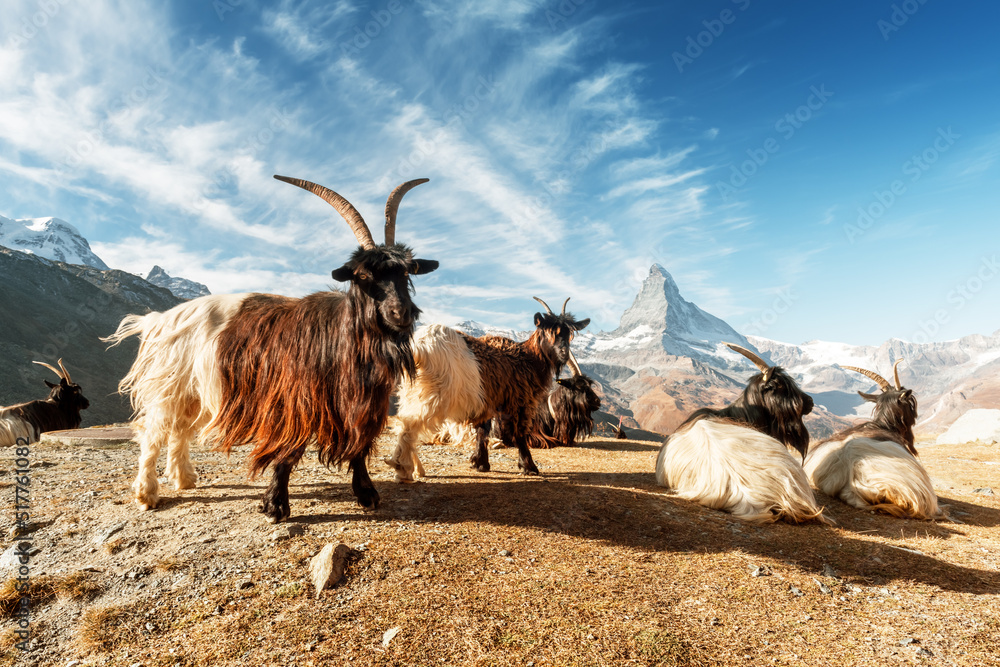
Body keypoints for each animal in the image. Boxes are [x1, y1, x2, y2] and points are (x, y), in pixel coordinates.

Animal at [105, 176, 438, 520]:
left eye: (405, 272)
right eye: (362, 275)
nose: (400, 313)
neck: (342, 337)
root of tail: (159, 319)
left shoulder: (360, 402)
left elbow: (358, 445)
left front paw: (366, 493)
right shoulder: (293, 399)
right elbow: (287, 450)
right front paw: (275, 504)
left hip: (194, 392)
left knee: (180, 430)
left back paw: (183, 478)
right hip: (169, 385)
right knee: (153, 432)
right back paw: (147, 493)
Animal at [382, 298, 584, 480]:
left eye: (568, 334)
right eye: (548, 332)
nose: (564, 353)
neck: (529, 358)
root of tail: (419, 347)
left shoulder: (487, 401)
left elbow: (482, 431)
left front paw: (480, 463)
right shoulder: (520, 401)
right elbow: (519, 433)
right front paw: (529, 467)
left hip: (412, 391)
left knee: (403, 424)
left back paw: (415, 468)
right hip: (432, 395)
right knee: (409, 427)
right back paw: (403, 469)